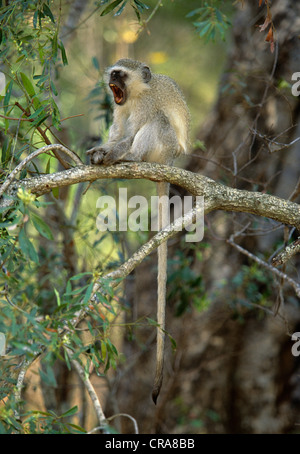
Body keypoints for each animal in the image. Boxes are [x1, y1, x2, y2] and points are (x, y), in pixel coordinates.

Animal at [86, 58, 190, 402]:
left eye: (121, 74)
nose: (112, 78)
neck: (134, 96)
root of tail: (169, 164)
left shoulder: (145, 105)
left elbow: (130, 134)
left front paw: (113, 154)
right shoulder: (118, 108)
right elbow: (119, 131)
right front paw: (101, 151)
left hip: (165, 149)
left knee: (157, 124)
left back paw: (130, 157)